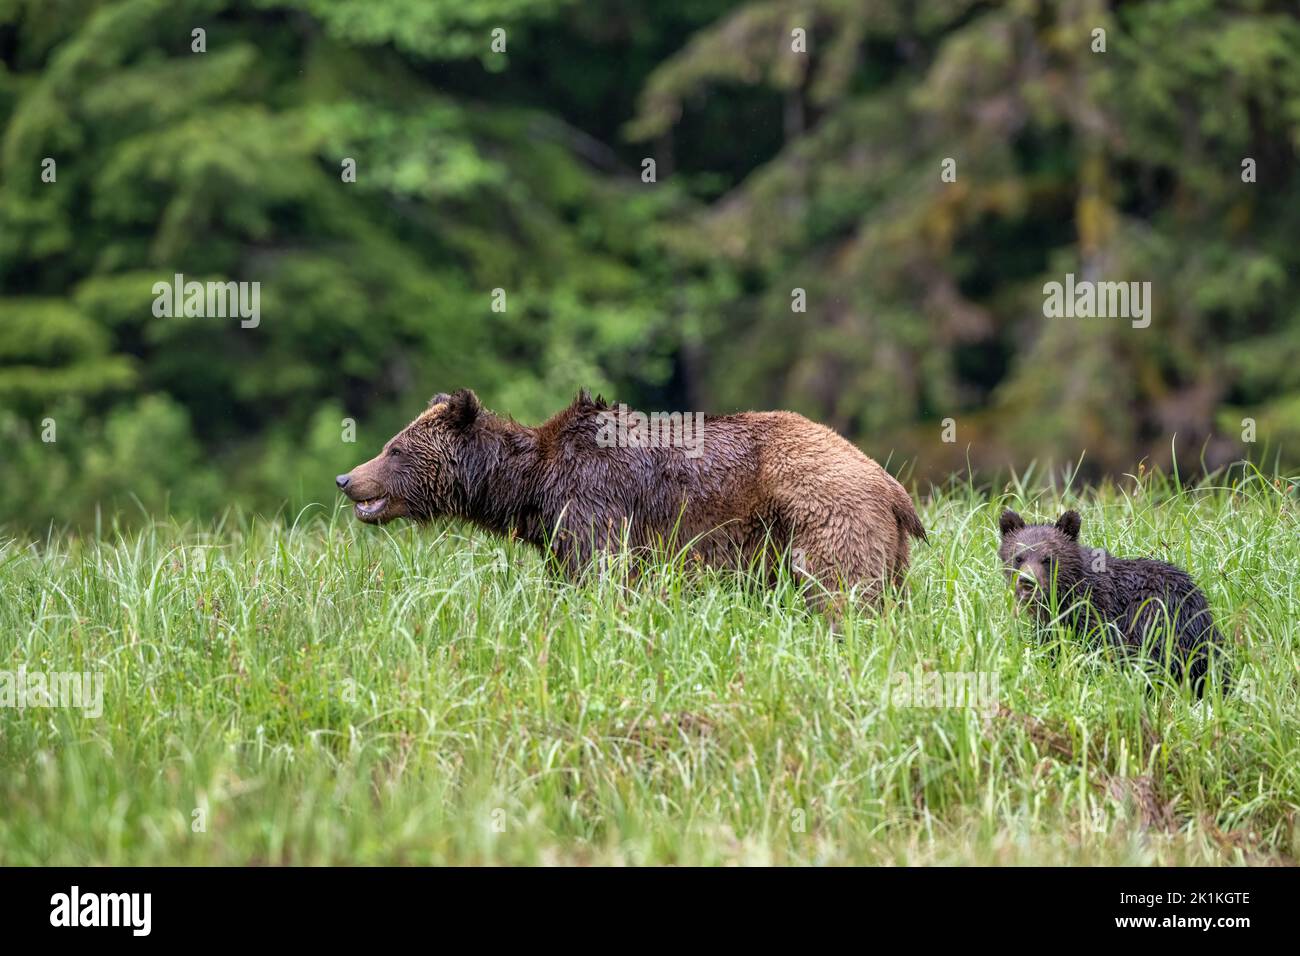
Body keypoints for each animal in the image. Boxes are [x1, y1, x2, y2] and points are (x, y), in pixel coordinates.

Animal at [335, 390, 925, 613]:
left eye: (393, 449)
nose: (346, 478)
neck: (530, 486)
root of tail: (893, 488)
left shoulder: (595, 505)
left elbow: (603, 576)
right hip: (885, 552)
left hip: (821, 518)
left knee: (839, 595)